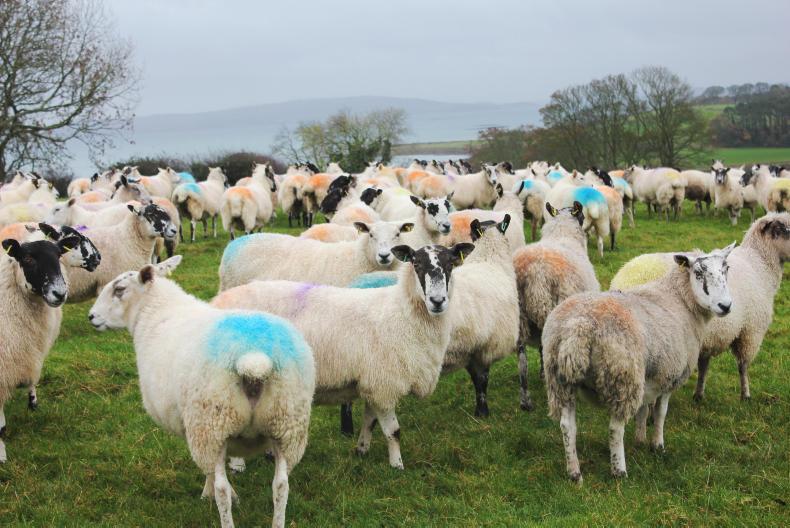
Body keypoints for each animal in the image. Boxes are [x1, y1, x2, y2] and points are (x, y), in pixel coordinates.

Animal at [88, 257, 315, 528]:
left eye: (119, 289)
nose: (91, 317)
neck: (155, 314)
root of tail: (254, 360)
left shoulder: (193, 427)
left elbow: (210, 473)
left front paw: (206, 494)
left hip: (212, 423)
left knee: (223, 489)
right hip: (286, 425)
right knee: (281, 486)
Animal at [211, 242, 474, 469]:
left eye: (451, 264)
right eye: (416, 264)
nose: (438, 301)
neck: (401, 313)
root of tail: (218, 301)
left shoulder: (372, 382)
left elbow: (370, 421)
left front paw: (362, 450)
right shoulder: (384, 383)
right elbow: (393, 431)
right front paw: (397, 465)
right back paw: (237, 465)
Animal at [512, 201, 600, 410]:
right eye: (582, 216)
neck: (563, 234)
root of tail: (534, 272)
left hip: (520, 317)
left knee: (522, 359)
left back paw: (525, 401)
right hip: (551, 311)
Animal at [543, 243, 734, 482]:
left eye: (726, 269)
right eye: (698, 273)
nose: (725, 306)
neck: (679, 299)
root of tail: (579, 325)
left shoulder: (650, 376)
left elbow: (644, 409)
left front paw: (640, 440)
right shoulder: (670, 375)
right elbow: (660, 412)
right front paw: (657, 445)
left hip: (560, 379)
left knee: (567, 426)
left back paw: (574, 473)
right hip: (623, 377)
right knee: (615, 428)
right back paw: (619, 471)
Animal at [608, 214, 790, 402]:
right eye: (786, 230)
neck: (759, 263)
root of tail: (621, 279)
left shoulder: (709, 338)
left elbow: (704, 366)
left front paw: (699, 393)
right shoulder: (750, 332)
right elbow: (743, 366)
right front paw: (745, 394)